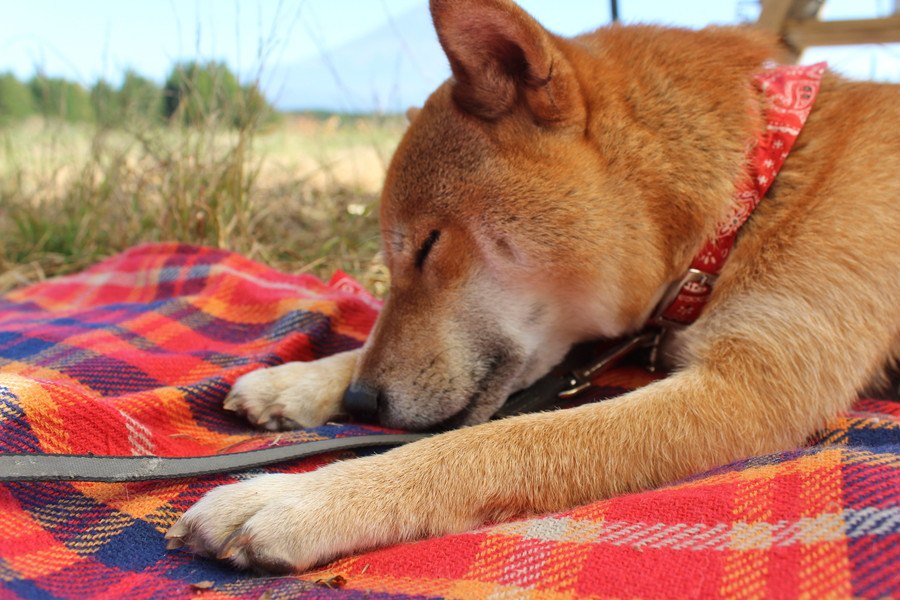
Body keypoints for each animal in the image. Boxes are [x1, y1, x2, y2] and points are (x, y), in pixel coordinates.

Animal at [167, 0, 900, 576]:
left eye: (429, 246)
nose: (360, 401)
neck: (754, 189)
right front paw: (300, 380)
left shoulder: (751, 387)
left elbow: (490, 444)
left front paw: (303, 497)